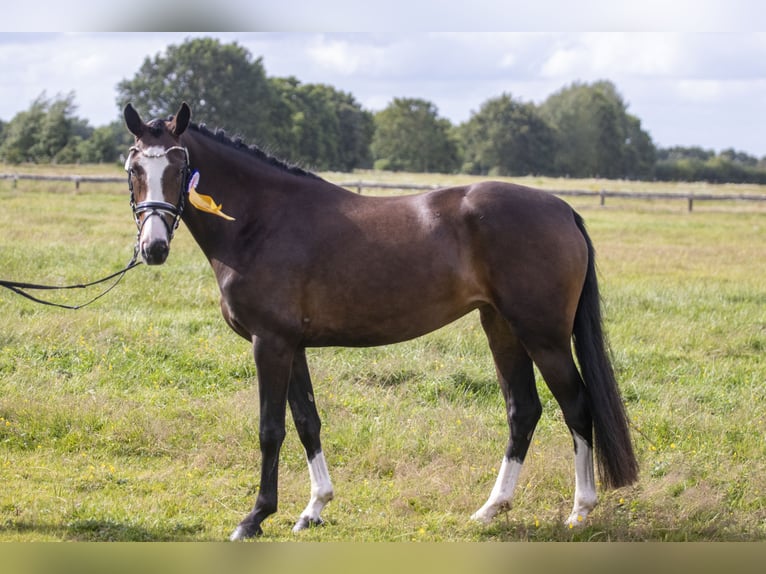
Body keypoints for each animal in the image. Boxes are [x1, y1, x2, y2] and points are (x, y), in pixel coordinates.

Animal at [123, 102, 640, 540]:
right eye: (134, 169)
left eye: (178, 167)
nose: (154, 248)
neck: (260, 221)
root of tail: (563, 209)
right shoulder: (292, 345)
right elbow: (307, 421)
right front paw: (314, 508)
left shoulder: (269, 343)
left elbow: (271, 429)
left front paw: (255, 518)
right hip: (502, 328)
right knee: (524, 411)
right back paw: (491, 508)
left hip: (543, 336)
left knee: (577, 407)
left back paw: (580, 510)